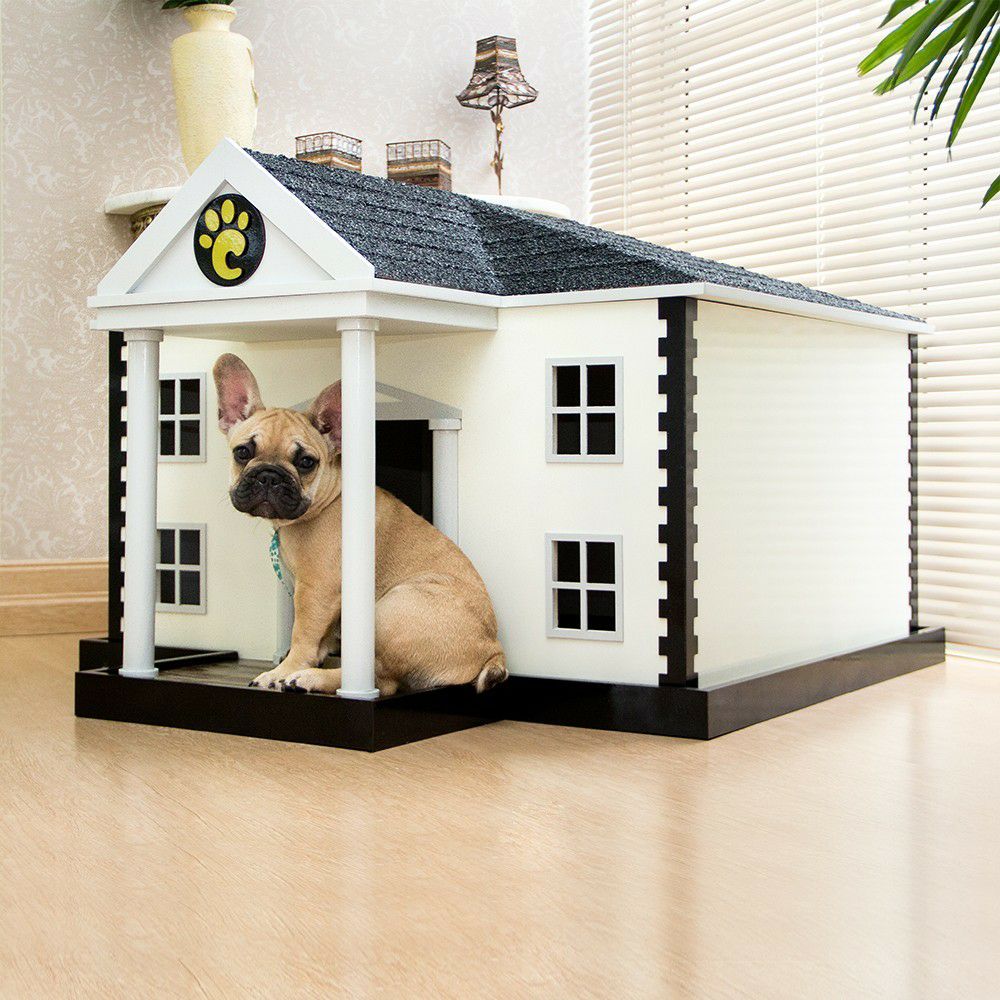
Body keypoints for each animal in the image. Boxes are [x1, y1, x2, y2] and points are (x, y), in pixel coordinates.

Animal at [213, 353, 508, 697]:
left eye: (306, 462)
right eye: (242, 452)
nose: (269, 475)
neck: (328, 500)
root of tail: (493, 650)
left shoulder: (315, 590)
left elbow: (303, 636)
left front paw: (283, 671)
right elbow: (321, 639)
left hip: (391, 608)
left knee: (383, 680)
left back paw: (308, 679)